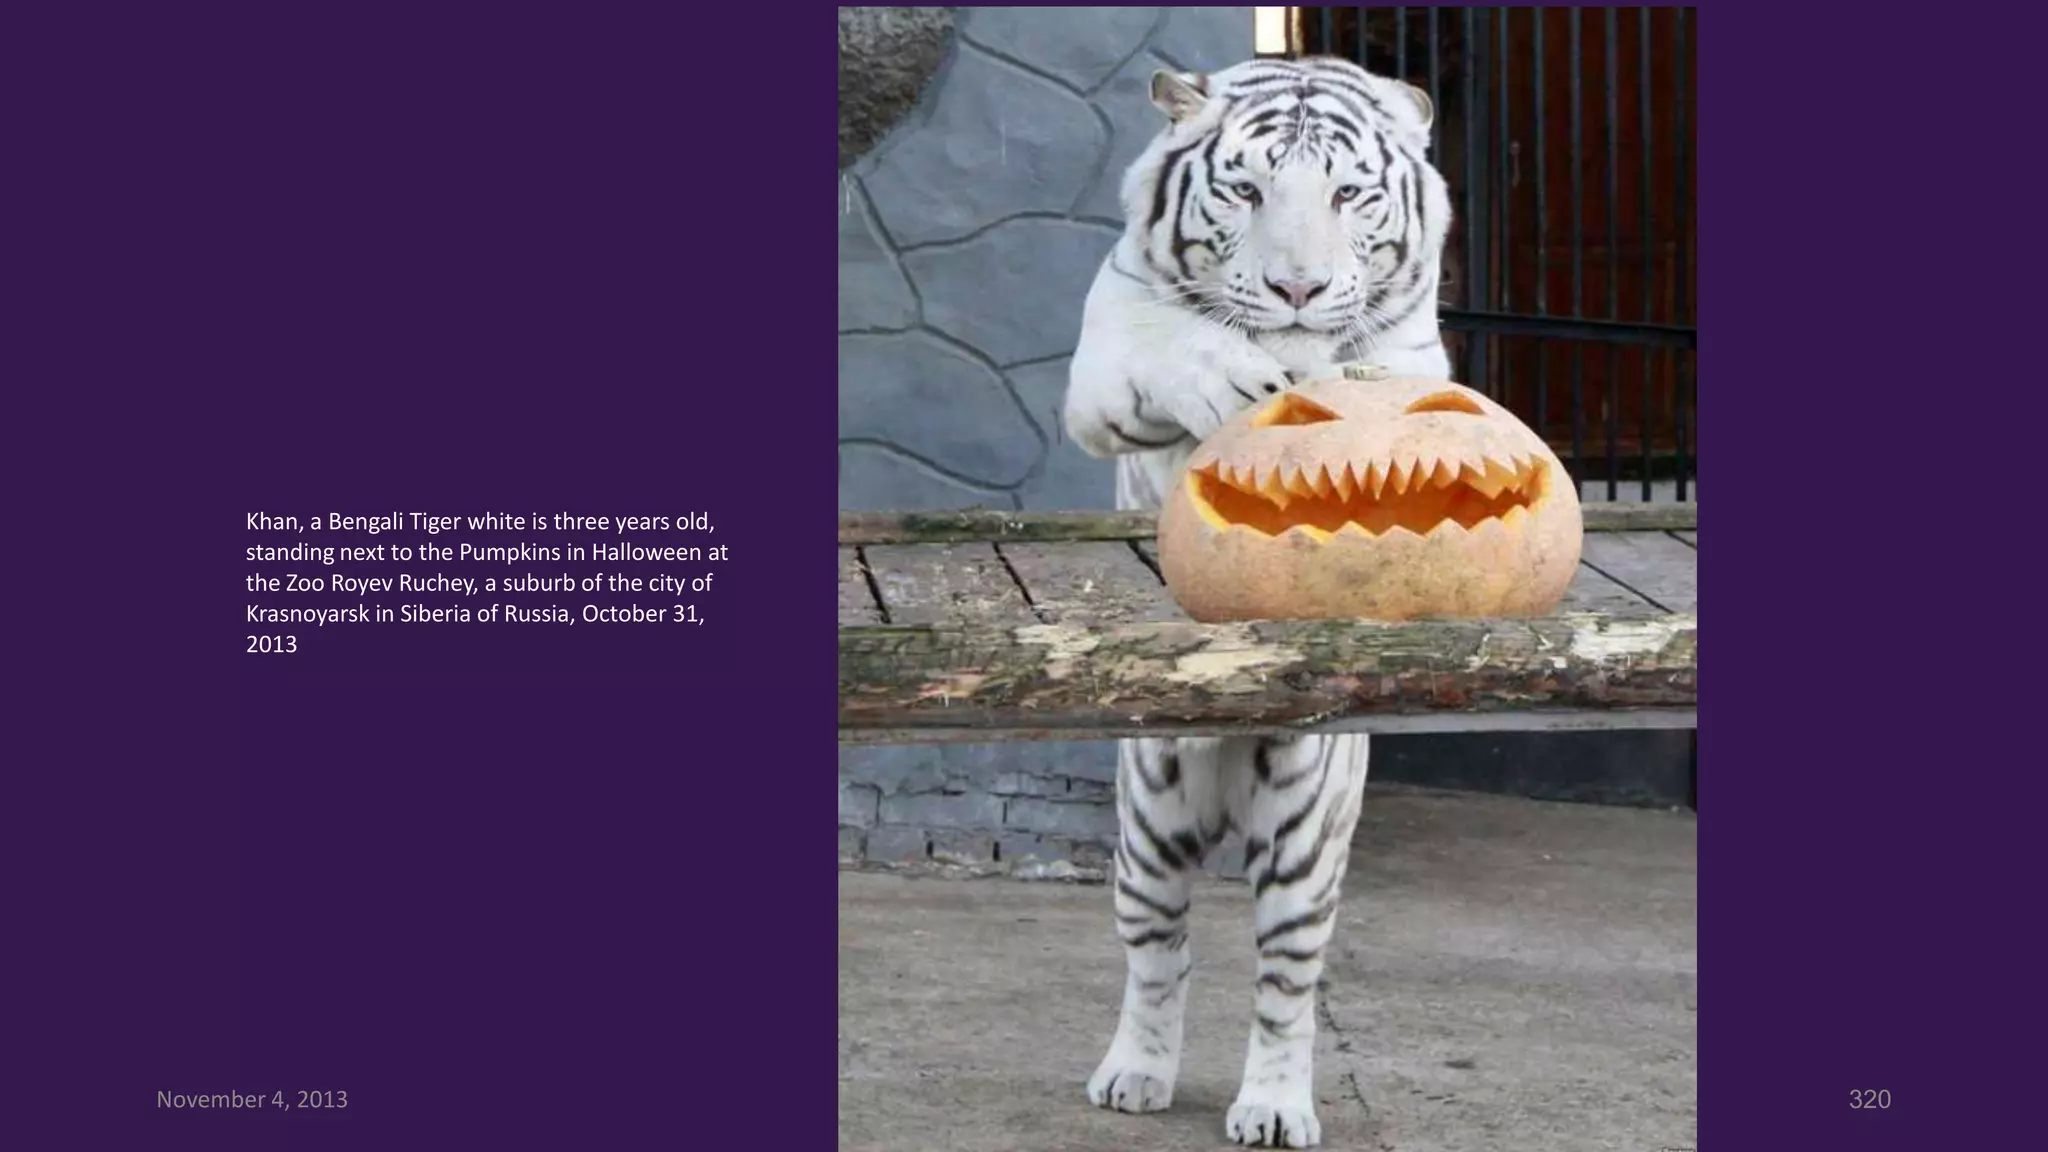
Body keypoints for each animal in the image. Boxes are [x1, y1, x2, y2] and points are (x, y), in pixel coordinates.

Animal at [1060, 55, 1453, 1148]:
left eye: (1349, 195)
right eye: (1244, 191)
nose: (1297, 290)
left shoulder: (1415, 359)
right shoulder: (1102, 362)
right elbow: (1177, 345)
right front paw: (1236, 375)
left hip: (1305, 839)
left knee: (1284, 986)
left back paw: (1273, 1106)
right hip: (1147, 826)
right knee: (1159, 957)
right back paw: (1133, 1074)